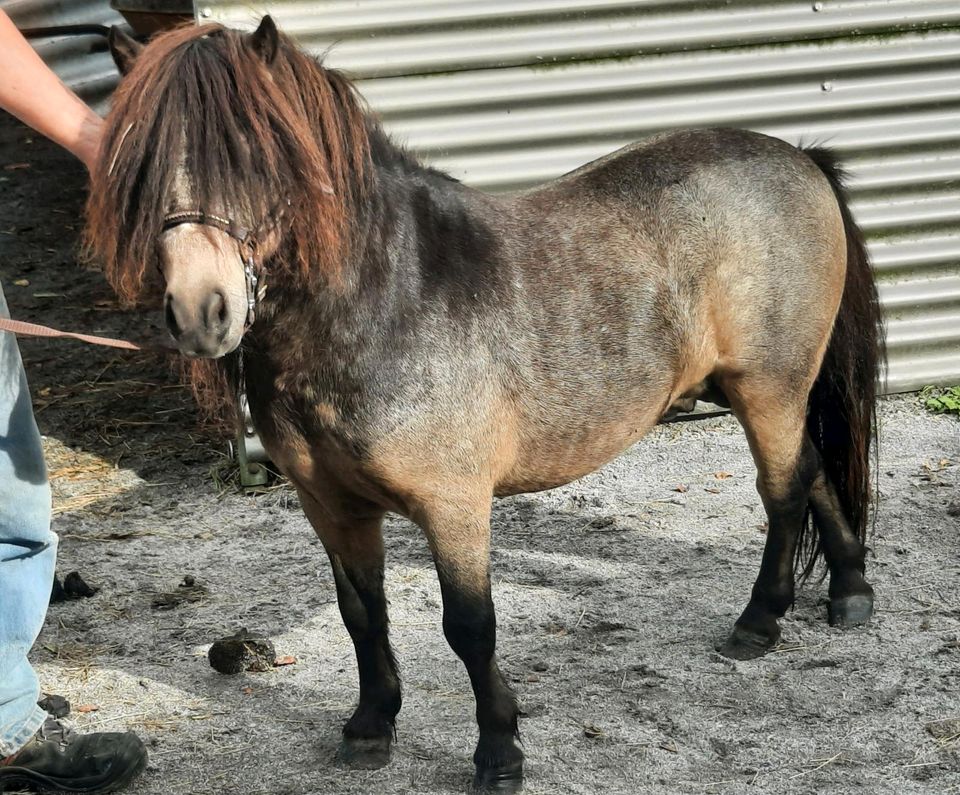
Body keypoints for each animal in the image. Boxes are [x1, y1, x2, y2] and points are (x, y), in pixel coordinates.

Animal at [88, 21, 884, 792]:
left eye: (252, 156)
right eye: (142, 168)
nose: (202, 312)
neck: (387, 301)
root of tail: (799, 158)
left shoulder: (455, 504)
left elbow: (469, 626)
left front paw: (499, 753)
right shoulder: (331, 504)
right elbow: (361, 614)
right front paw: (370, 728)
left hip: (767, 387)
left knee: (783, 492)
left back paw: (760, 622)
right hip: (755, 391)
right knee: (812, 468)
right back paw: (850, 592)